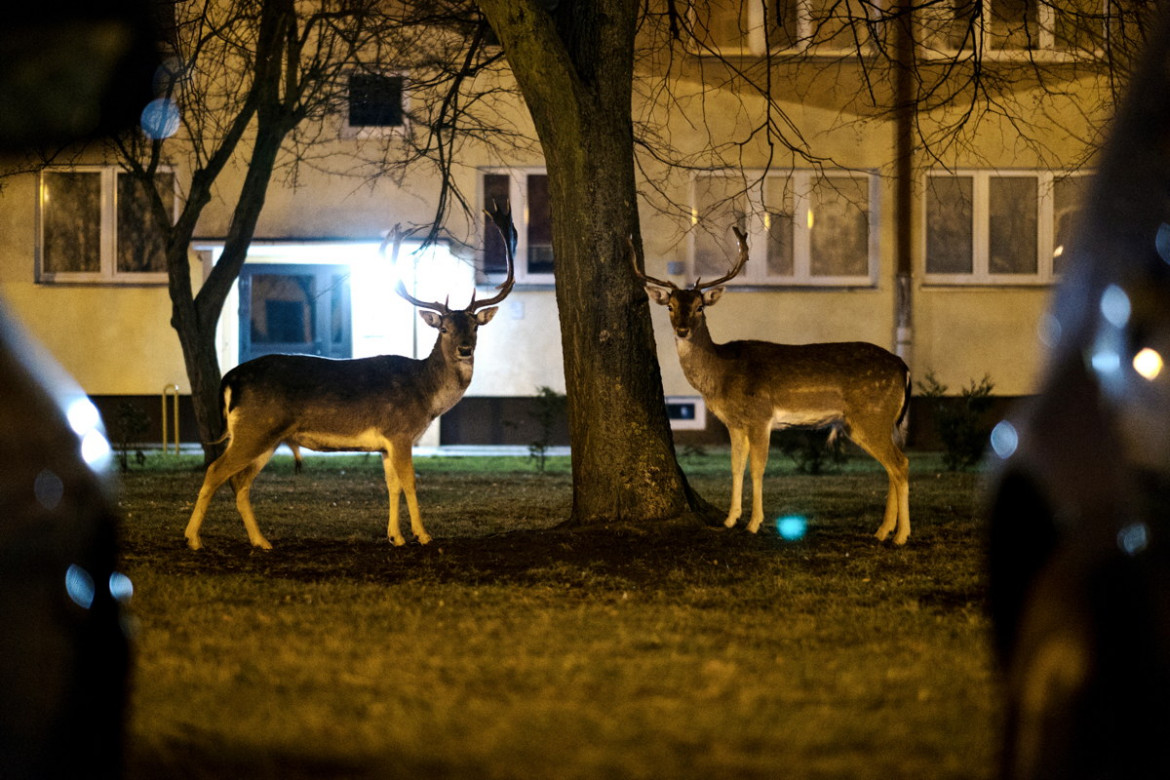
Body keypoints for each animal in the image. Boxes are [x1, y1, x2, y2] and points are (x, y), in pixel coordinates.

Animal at [184, 205, 514, 549]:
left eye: (474, 326)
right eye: (444, 328)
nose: (464, 349)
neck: (426, 393)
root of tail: (230, 379)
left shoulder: (385, 445)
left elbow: (392, 485)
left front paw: (395, 536)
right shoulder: (399, 432)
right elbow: (410, 482)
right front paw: (422, 534)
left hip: (265, 435)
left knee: (240, 480)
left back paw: (261, 541)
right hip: (256, 427)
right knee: (216, 470)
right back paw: (193, 538)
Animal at [636, 225, 907, 542]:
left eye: (700, 307)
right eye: (670, 306)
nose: (682, 330)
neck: (722, 374)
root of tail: (903, 366)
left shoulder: (760, 416)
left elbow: (757, 468)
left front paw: (754, 523)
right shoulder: (735, 423)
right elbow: (735, 467)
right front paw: (730, 519)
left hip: (872, 415)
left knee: (900, 464)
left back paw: (901, 535)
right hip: (871, 422)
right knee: (892, 466)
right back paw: (883, 531)